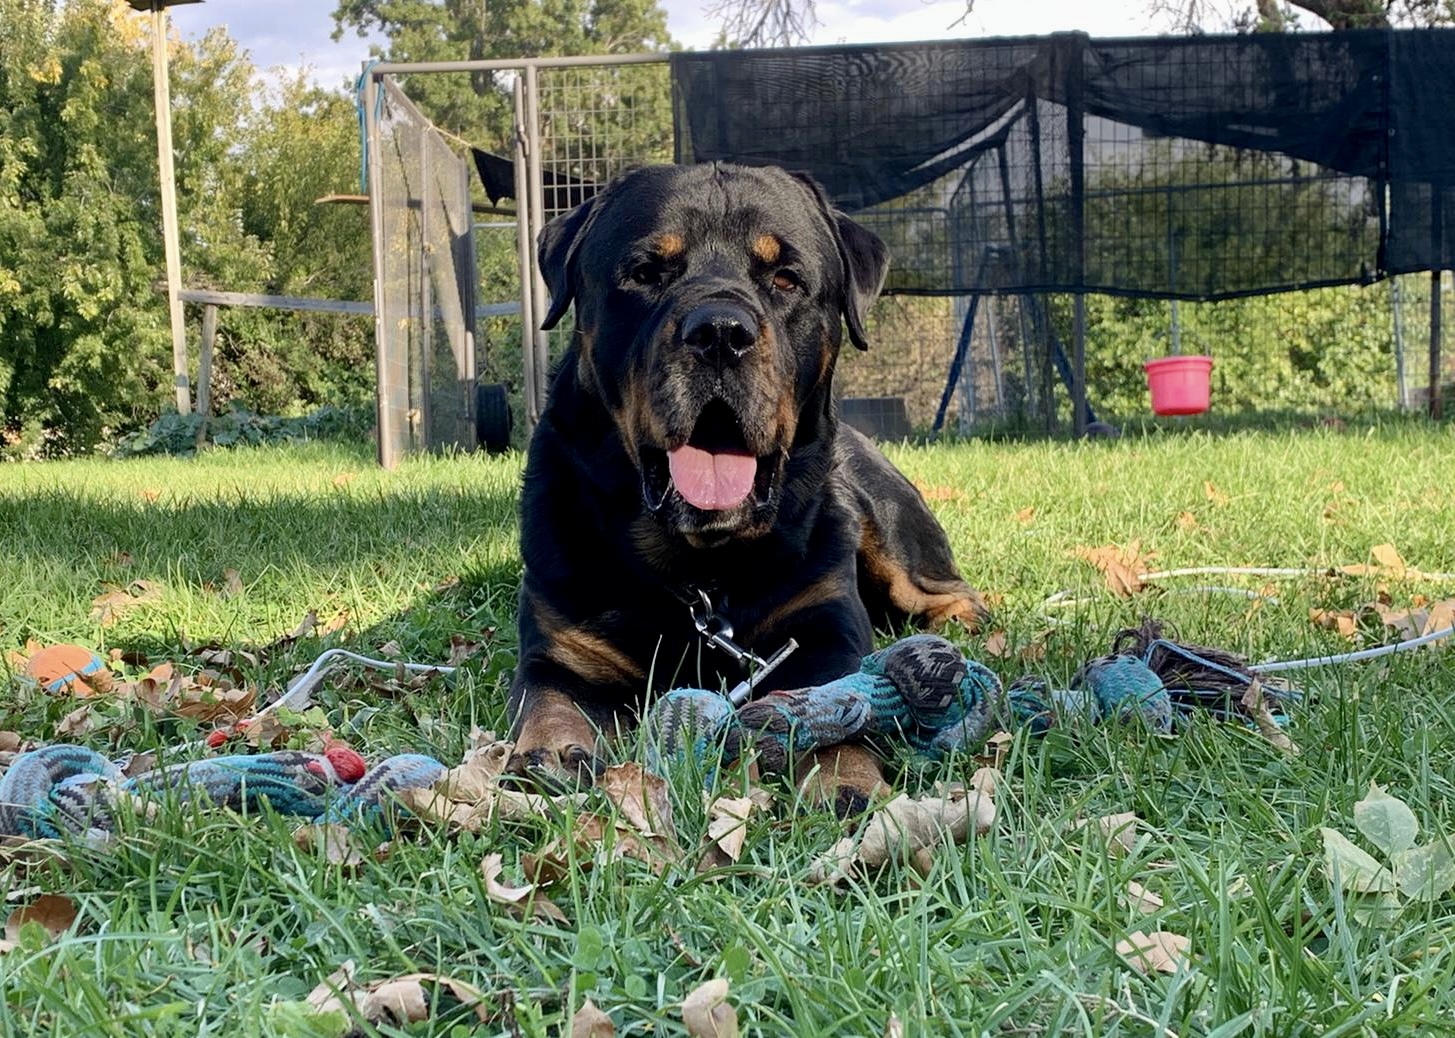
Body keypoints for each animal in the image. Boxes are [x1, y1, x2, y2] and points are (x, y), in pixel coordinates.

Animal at [506, 163, 983, 809]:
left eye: (786, 278)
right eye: (645, 272)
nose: (719, 332)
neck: (701, 573)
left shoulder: (825, 630)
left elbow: (833, 699)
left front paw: (843, 777)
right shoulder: (560, 649)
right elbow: (550, 699)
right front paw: (554, 752)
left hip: (891, 530)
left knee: (944, 588)